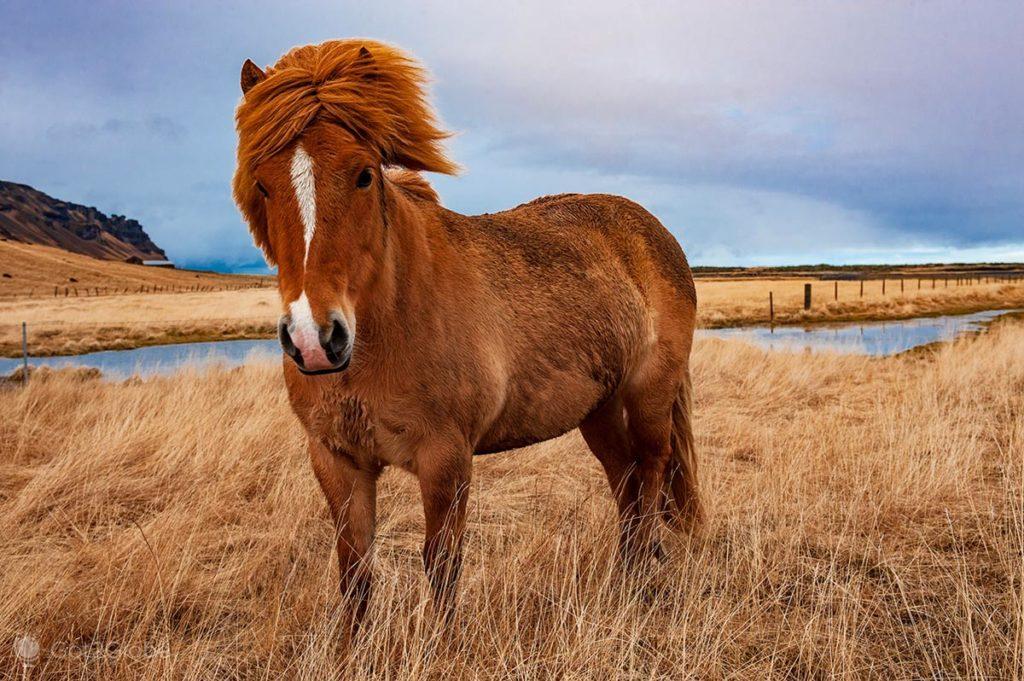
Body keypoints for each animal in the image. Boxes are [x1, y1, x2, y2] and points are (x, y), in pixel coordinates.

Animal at [231, 39, 700, 630]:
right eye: (262, 183)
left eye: (364, 174)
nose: (315, 340)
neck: (386, 329)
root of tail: (654, 230)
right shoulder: (335, 459)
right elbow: (354, 572)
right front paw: (349, 648)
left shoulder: (445, 457)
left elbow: (442, 564)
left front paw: (442, 645)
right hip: (598, 409)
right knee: (627, 482)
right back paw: (629, 574)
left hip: (648, 396)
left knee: (653, 470)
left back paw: (645, 583)